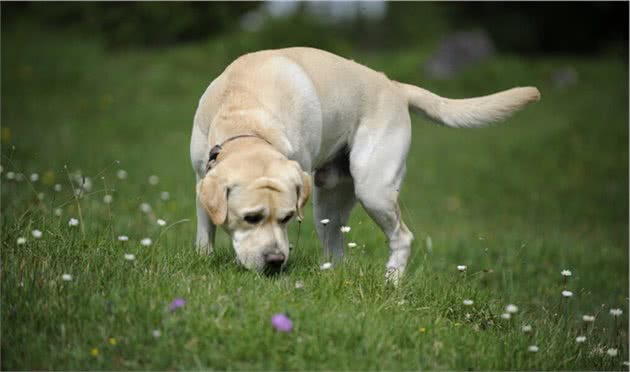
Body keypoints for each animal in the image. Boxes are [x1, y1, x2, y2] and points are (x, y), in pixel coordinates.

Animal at [190, 47, 540, 282]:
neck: (245, 113)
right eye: (251, 218)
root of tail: (395, 86)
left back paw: (391, 283)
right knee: (336, 247)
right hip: (328, 202)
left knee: (402, 237)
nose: (276, 261)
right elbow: (206, 228)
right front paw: (204, 259)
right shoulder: (201, 177)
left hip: (374, 189)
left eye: (288, 218)